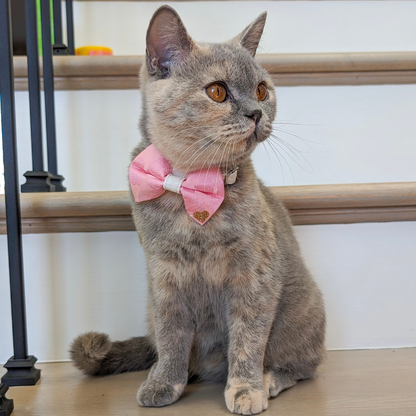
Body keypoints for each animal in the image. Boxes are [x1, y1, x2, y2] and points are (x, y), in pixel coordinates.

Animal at [70, 4, 326, 414]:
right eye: (217, 91)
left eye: (261, 89)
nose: (256, 112)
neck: (191, 188)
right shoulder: (163, 277)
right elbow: (171, 337)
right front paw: (164, 384)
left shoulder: (255, 275)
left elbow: (248, 338)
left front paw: (246, 389)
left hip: (303, 309)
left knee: (304, 365)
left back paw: (271, 379)